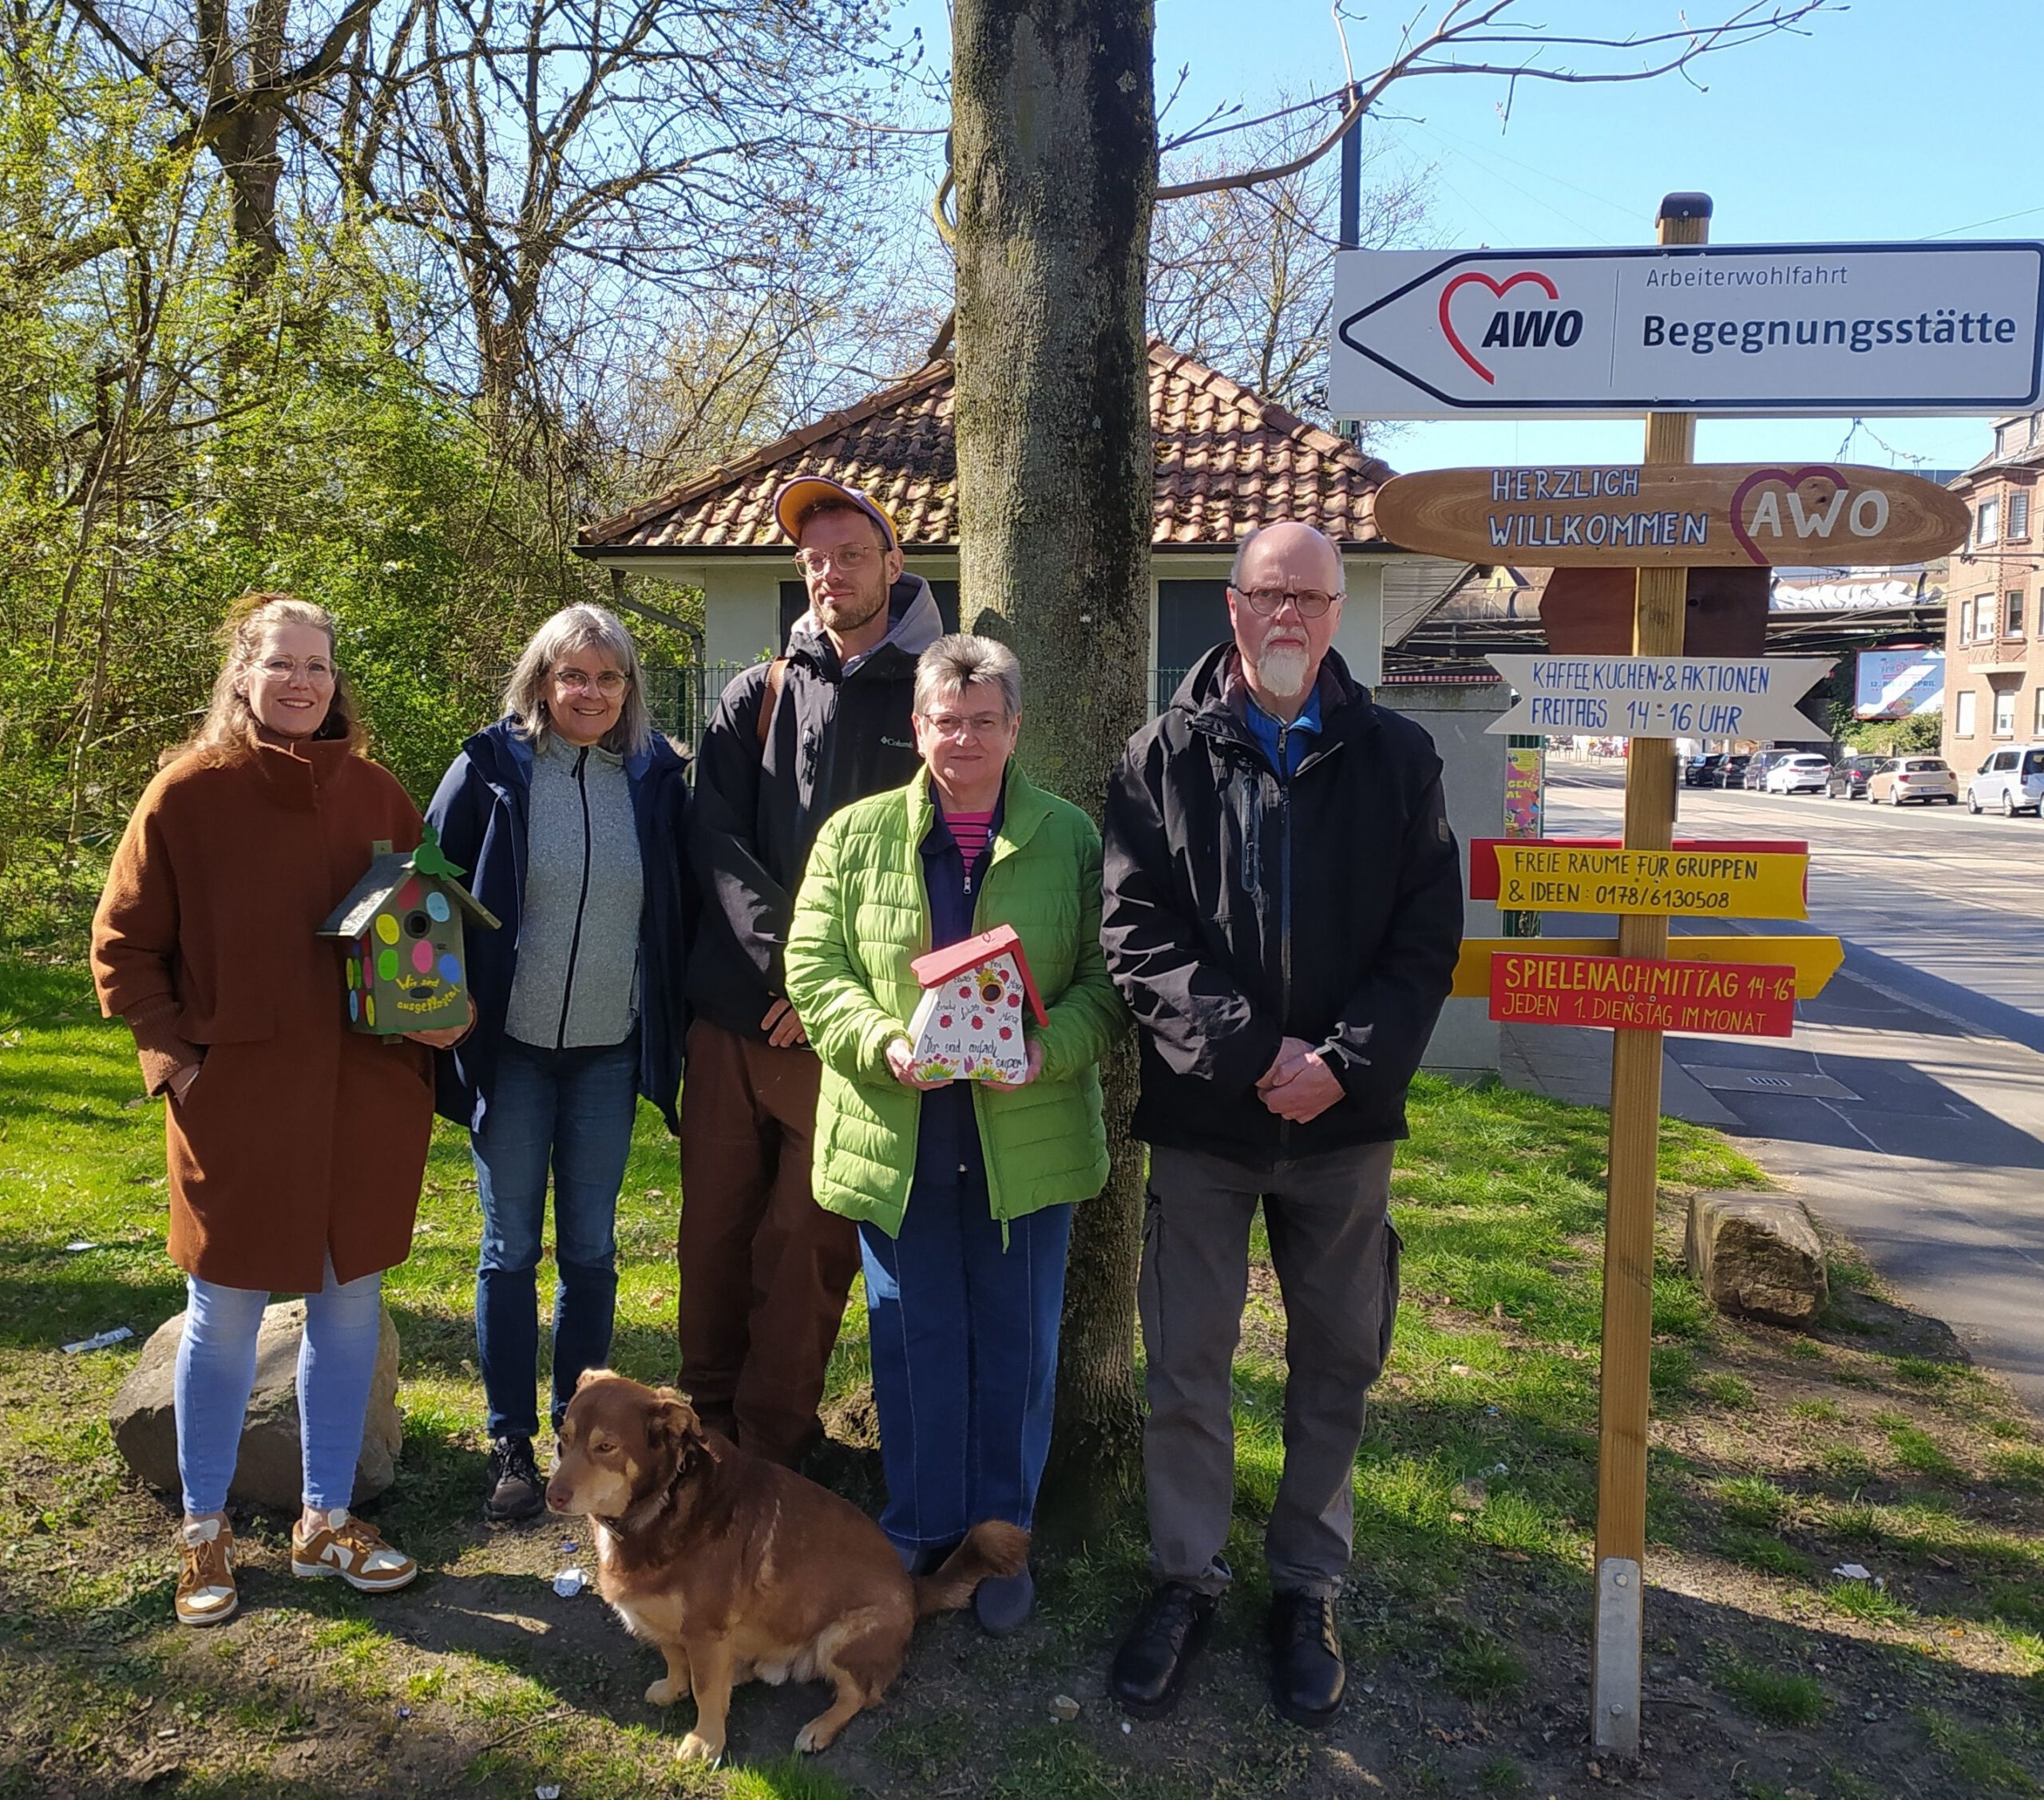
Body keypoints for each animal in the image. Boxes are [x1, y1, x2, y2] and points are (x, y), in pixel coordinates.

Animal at [545, 1370, 1028, 1762]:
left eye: (606, 1447)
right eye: (562, 1439)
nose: (553, 1496)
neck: (660, 1504)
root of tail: (912, 1588)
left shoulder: (706, 1630)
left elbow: (706, 1689)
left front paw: (706, 1741)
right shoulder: (664, 1618)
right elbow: (674, 1658)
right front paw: (672, 1687)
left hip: (841, 1638)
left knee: (862, 1696)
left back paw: (818, 1729)